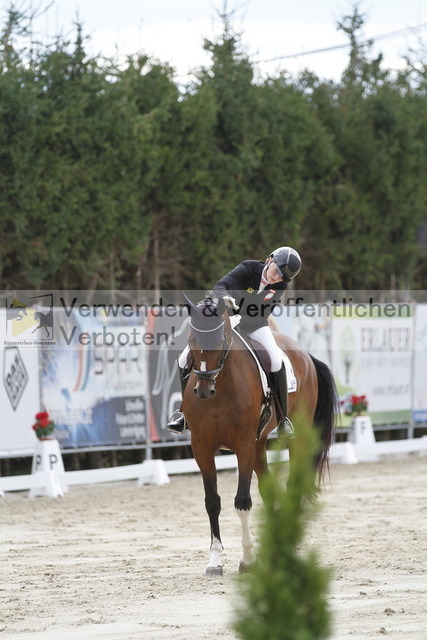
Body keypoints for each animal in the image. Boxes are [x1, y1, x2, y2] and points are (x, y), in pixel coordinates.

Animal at [182, 295, 339, 576]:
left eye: (221, 339)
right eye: (191, 340)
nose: (203, 390)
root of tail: (304, 353)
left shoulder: (243, 445)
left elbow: (242, 501)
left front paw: (247, 560)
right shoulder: (201, 447)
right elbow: (212, 501)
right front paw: (215, 560)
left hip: (295, 437)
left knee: (292, 484)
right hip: (258, 445)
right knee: (268, 487)